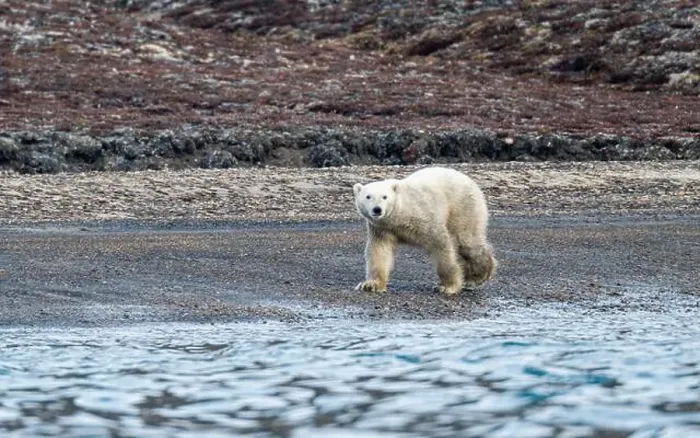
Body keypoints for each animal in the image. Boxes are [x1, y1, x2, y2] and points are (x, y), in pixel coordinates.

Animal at [352, 167, 496, 295]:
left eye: (384, 197)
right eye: (368, 196)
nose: (377, 209)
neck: (401, 212)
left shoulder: (423, 217)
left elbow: (440, 245)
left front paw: (447, 286)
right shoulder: (383, 228)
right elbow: (379, 250)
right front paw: (371, 285)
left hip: (462, 207)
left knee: (467, 241)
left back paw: (479, 275)